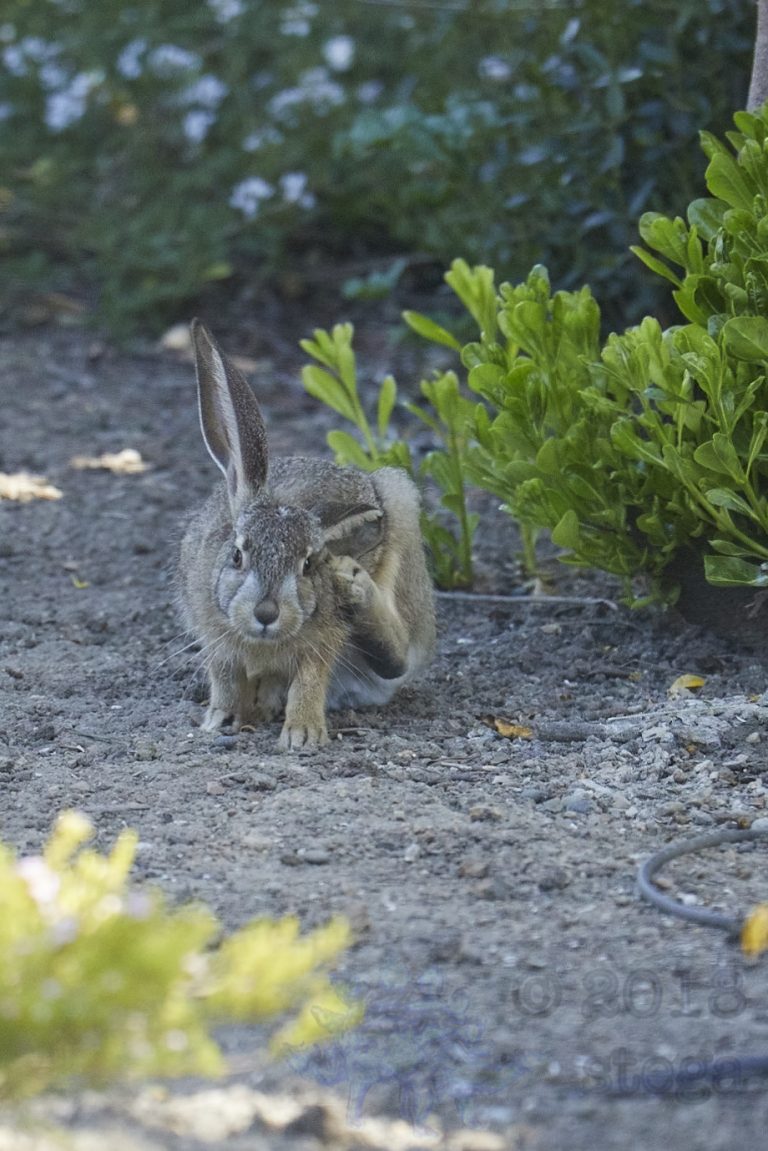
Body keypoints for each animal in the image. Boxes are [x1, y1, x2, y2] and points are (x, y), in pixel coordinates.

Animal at [178, 320, 436, 751]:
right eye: (237, 555)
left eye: (309, 564)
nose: (267, 613)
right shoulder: (213, 633)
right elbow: (225, 676)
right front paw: (221, 719)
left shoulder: (322, 639)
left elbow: (308, 682)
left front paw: (302, 734)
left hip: (400, 505)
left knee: (402, 656)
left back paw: (356, 587)